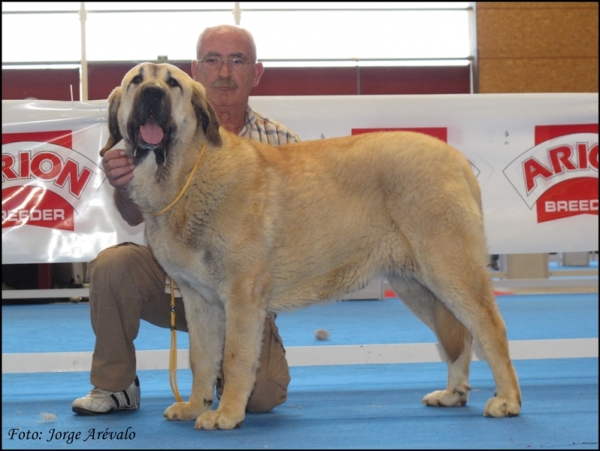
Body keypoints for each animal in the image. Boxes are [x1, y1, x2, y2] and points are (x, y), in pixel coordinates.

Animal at [99, 62, 520, 430]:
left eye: (172, 84)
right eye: (137, 80)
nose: (152, 94)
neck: (187, 173)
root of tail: (457, 159)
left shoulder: (241, 297)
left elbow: (234, 358)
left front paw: (227, 414)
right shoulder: (198, 299)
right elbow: (202, 359)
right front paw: (195, 406)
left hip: (449, 269)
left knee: (489, 326)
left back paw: (507, 400)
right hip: (415, 285)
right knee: (459, 334)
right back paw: (453, 393)